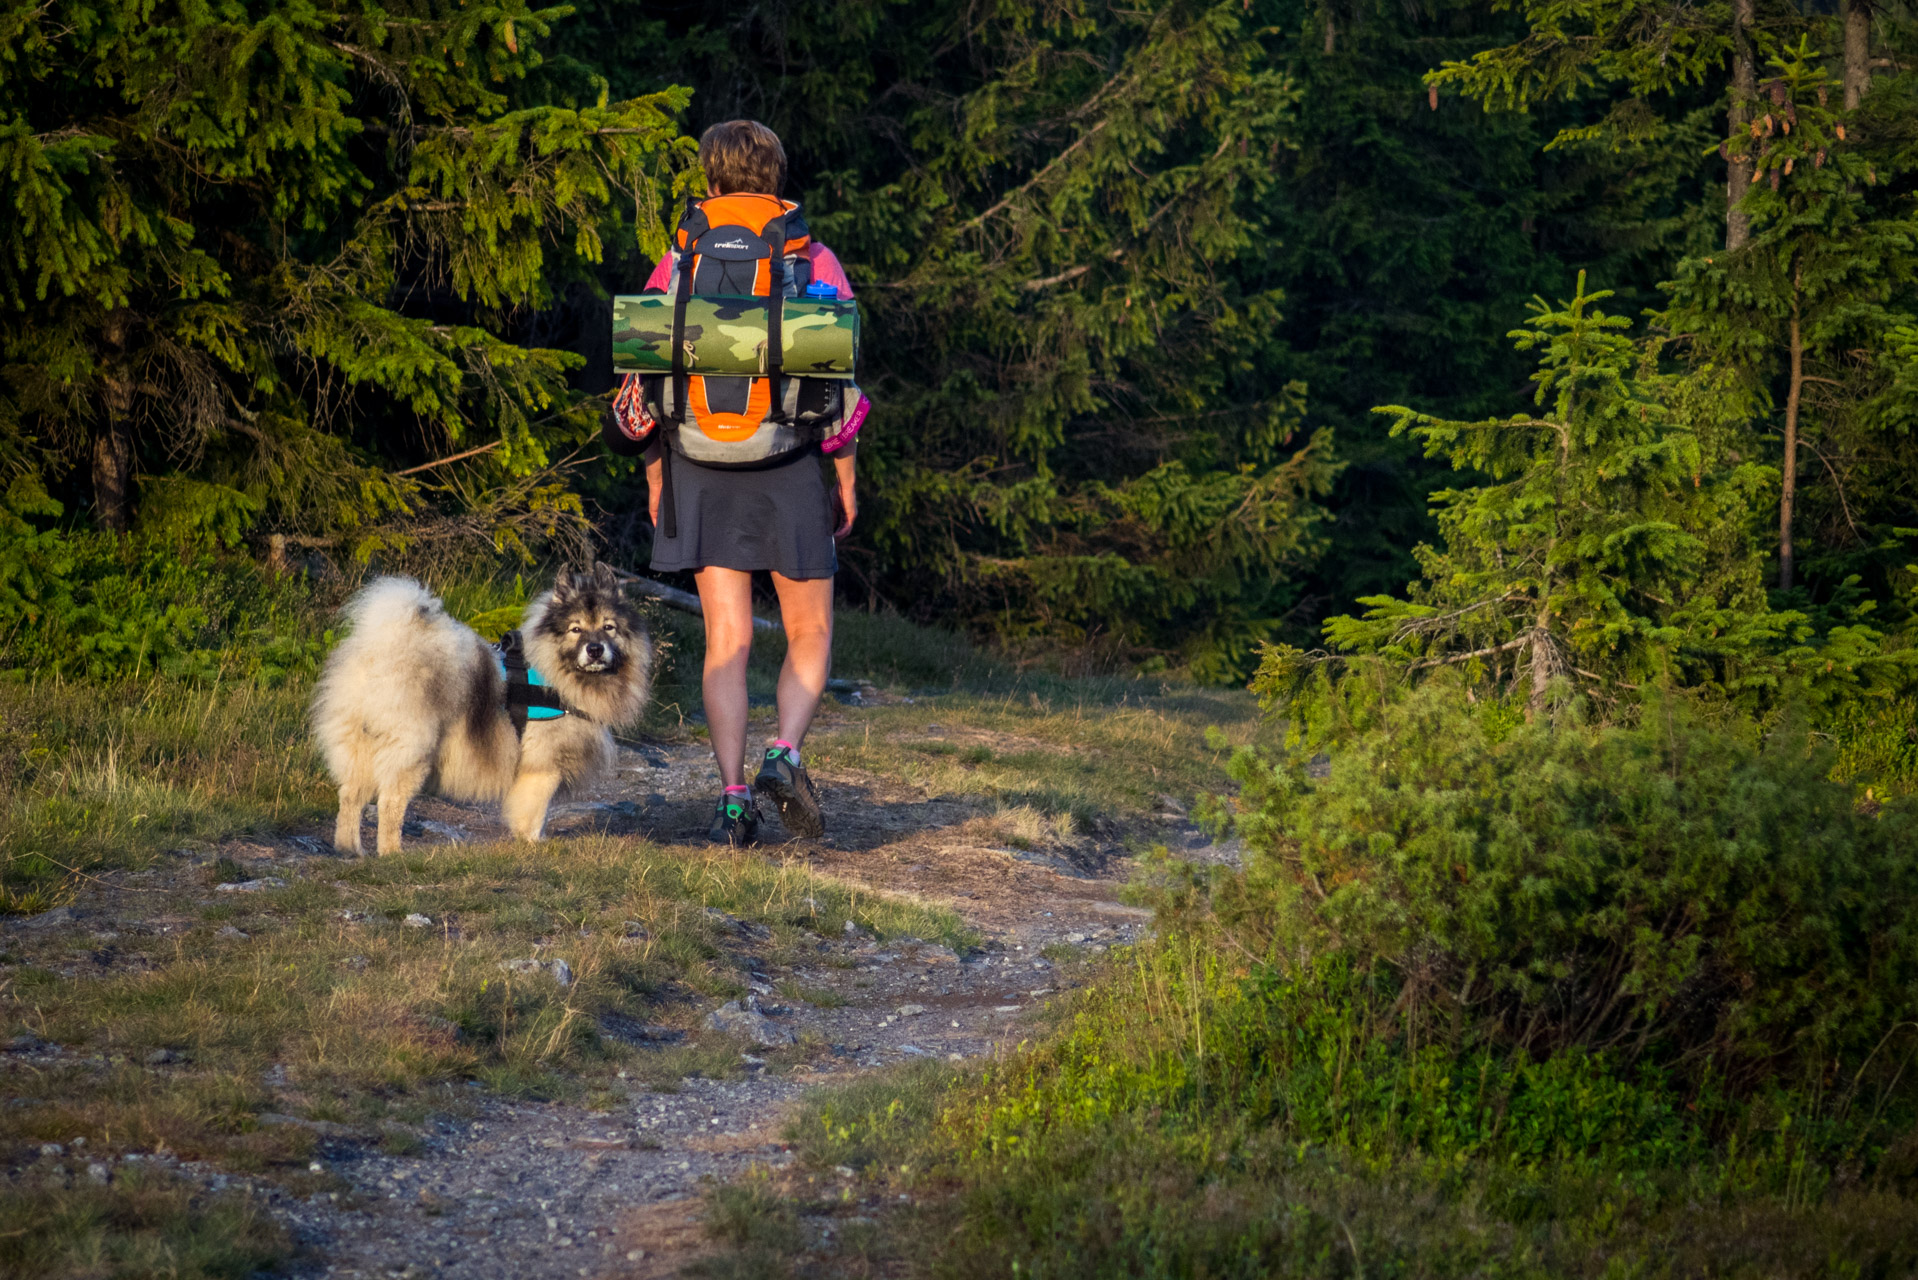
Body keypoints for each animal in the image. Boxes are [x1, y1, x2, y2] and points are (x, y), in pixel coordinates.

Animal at [308, 564, 652, 855]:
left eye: (609, 627)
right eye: (576, 630)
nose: (595, 649)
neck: (558, 673)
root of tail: (380, 648)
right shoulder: (544, 765)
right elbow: (535, 809)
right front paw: (533, 842)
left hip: (360, 746)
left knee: (350, 797)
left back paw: (351, 850)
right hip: (412, 749)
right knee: (390, 801)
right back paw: (392, 853)